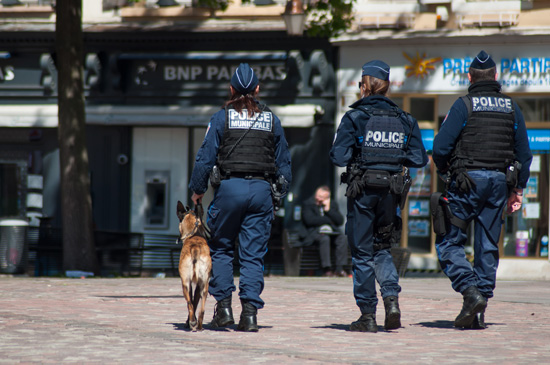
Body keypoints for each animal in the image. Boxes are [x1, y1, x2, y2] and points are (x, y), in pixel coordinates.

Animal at [178, 199, 212, 330]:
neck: (194, 235)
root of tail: (195, 248)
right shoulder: (198, 283)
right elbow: (195, 301)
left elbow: (192, 302)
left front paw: (189, 322)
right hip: (205, 284)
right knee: (201, 309)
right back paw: (199, 326)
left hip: (185, 283)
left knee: (190, 304)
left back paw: (192, 322)